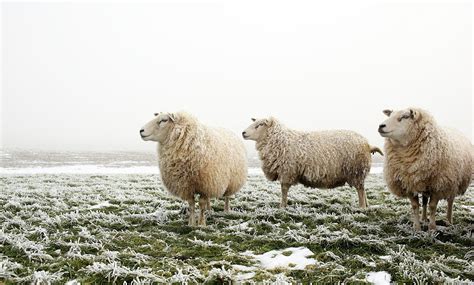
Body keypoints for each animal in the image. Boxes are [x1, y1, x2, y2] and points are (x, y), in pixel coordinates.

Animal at [243, 116, 384, 207]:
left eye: (259, 125)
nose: (243, 133)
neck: (280, 140)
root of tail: (368, 144)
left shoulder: (287, 171)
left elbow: (284, 190)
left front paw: (282, 207)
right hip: (359, 172)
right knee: (363, 190)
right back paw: (367, 206)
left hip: (356, 171)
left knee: (360, 190)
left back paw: (361, 207)